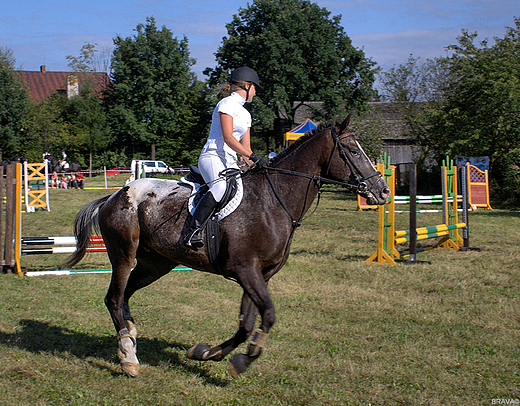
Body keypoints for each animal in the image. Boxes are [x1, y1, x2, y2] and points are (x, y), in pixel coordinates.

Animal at [66, 116, 390, 380]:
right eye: (352, 151)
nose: (383, 191)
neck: (274, 200)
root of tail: (113, 195)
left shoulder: (260, 275)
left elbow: (246, 323)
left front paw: (206, 353)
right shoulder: (245, 269)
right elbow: (268, 314)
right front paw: (245, 359)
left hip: (155, 264)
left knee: (125, 297)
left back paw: (130, 340)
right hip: (124, 254)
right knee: (113, 298)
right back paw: (128, 359)